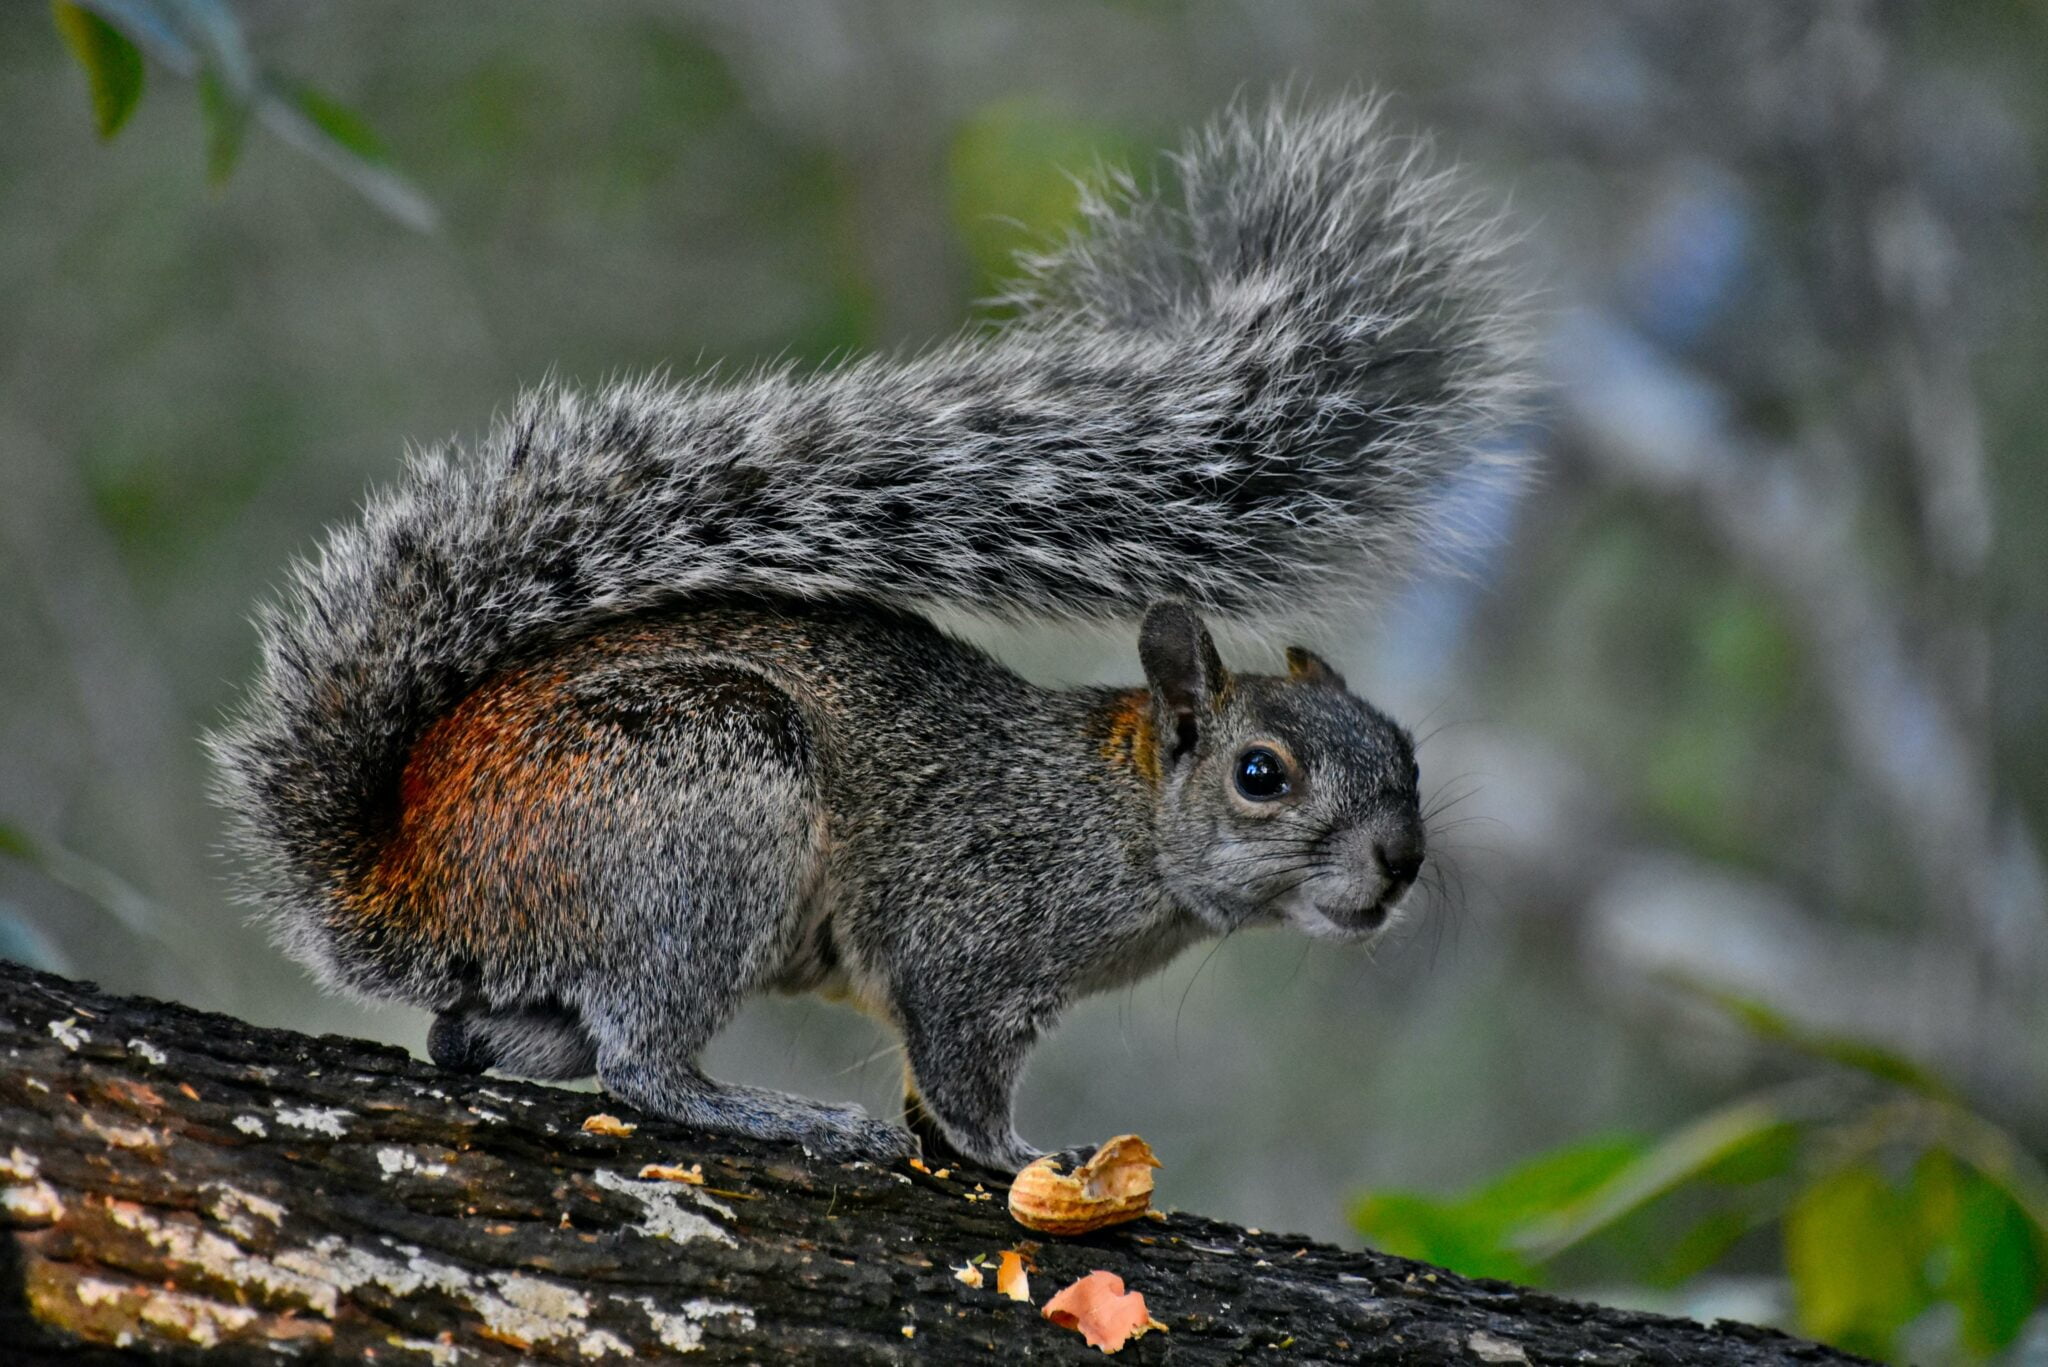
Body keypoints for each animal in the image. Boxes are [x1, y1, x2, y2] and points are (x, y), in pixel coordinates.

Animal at [207, 96, 1523, 1172]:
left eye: (1403, 751)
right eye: (1261, 773)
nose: (1399, 858)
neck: (1113, 812)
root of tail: (410, 878)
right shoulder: (966, 936)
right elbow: (959, 1075)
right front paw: (1024, 1157)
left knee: (473, 1035)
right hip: (699, 800)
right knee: (639, 1062)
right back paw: (764, 1109)